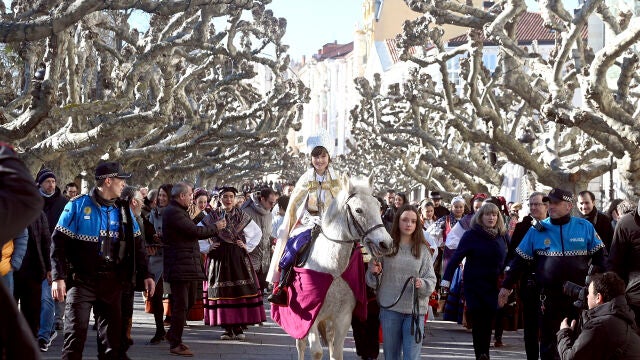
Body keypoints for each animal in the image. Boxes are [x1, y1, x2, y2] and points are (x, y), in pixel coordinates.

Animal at [294, 175, 392, 360]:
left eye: (378, 206)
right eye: (358, 210)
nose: (386, 244)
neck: (331, 269)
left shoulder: (343, 317)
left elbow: (338, 352)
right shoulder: (310, 317)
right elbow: (316, 352)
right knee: (300, 344)